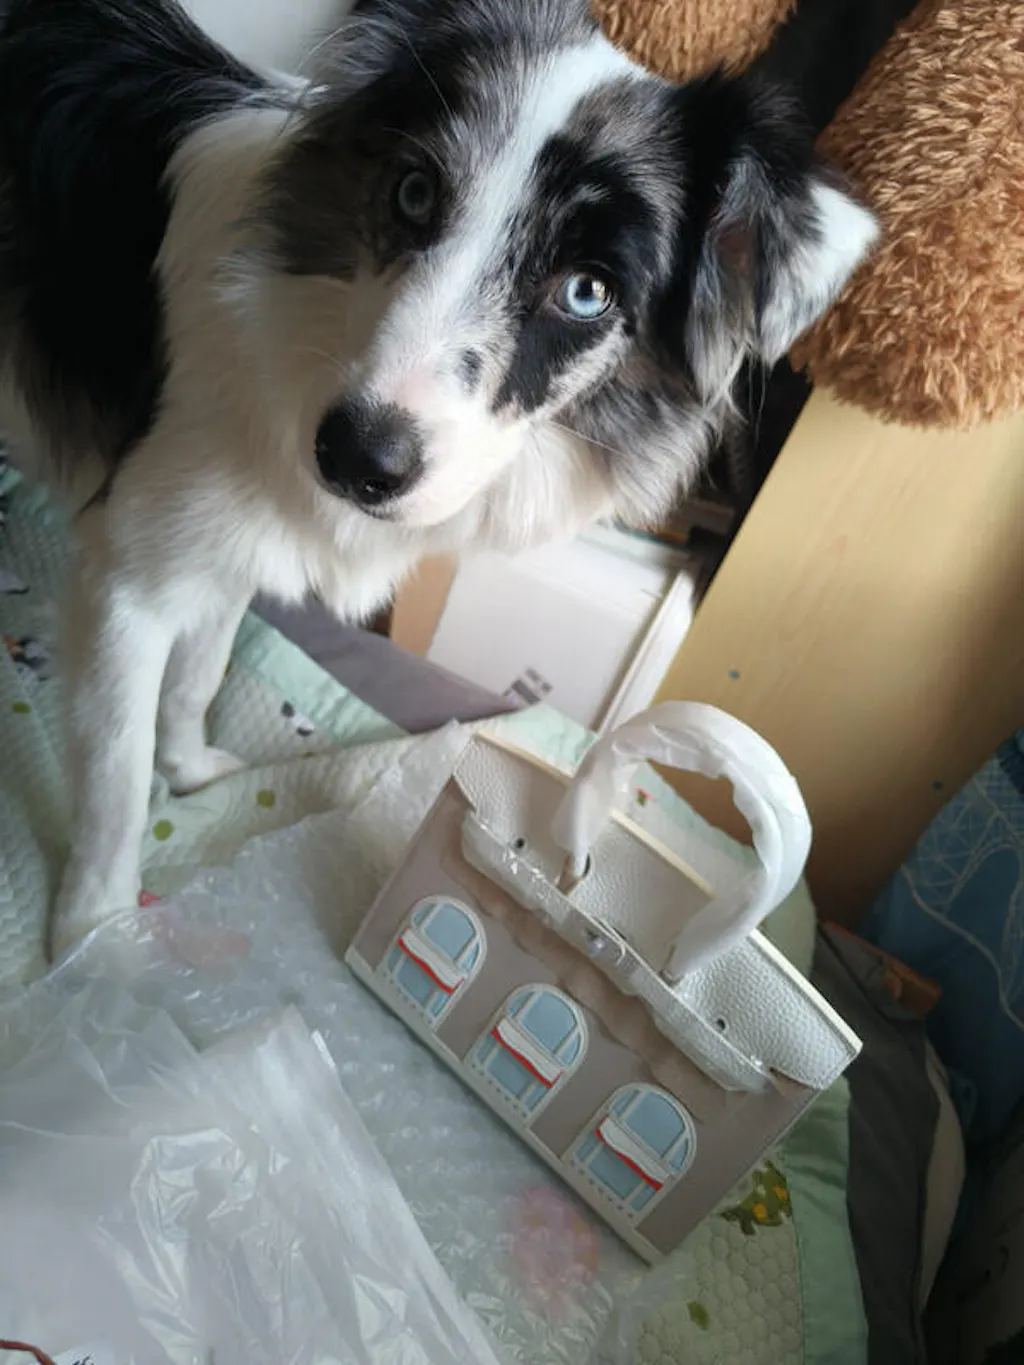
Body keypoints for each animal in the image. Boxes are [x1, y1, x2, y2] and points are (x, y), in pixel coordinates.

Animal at [0, 0, 877, 959]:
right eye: (414, 193)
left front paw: (189, 769)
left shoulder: (223, 544)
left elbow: (198, 672)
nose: (354, 459)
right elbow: (116, 775)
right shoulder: (128, 578)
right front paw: (95, 934)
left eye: (588, 291)